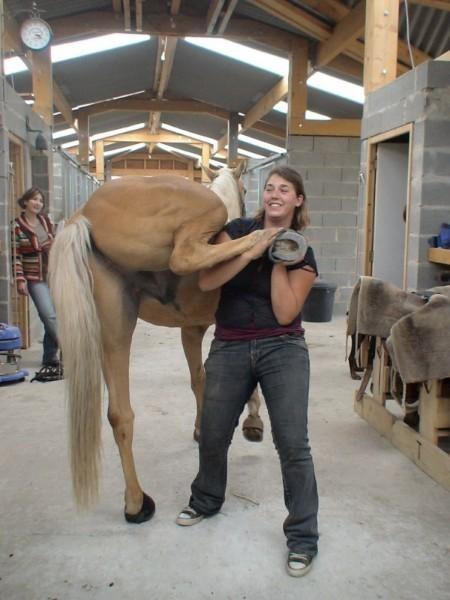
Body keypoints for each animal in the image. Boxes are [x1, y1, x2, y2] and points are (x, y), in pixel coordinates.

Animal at [49, 166, 268, 524]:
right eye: (246, 188)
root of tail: (83, 215)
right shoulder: (209, 330)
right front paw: (252, 419)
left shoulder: (190, 331)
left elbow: (199, 380)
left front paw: (201, 430)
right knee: (184, 257)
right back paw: (258, 241)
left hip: (114, 332)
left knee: (119, 415)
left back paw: (136, 504)